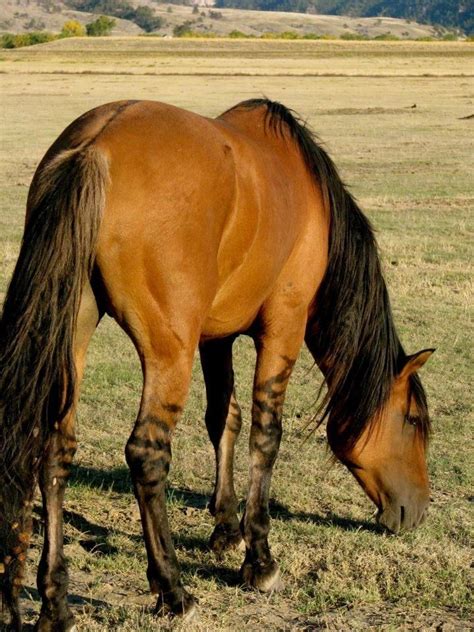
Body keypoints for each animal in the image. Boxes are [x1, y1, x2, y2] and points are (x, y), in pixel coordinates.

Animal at [0, 96, 434, 628]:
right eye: (411, 420)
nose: (416, 512)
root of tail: (95, 147)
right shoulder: (283, 327)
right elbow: (264, 436)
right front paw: (259, 558)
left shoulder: (215, 336)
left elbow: (223, 419)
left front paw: (226, 529)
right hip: (169, 352)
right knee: (146, 453)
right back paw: (173, 590)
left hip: (73, 330)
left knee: (55, 452)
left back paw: (57, 604)